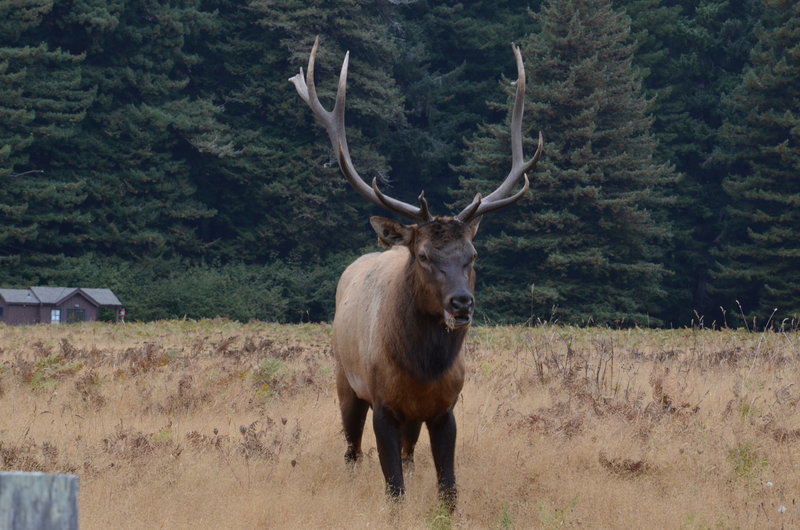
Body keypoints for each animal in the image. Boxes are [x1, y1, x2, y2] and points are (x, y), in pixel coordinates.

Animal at [290, 36, 544, 508]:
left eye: (472, 254)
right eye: (424, 255)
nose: (461, 303)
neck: (420, 372)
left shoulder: (445, 409)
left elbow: (448, 488)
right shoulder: (384, 406)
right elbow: (394, 489)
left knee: (408, 456)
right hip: (344, 381)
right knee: (351, 450)